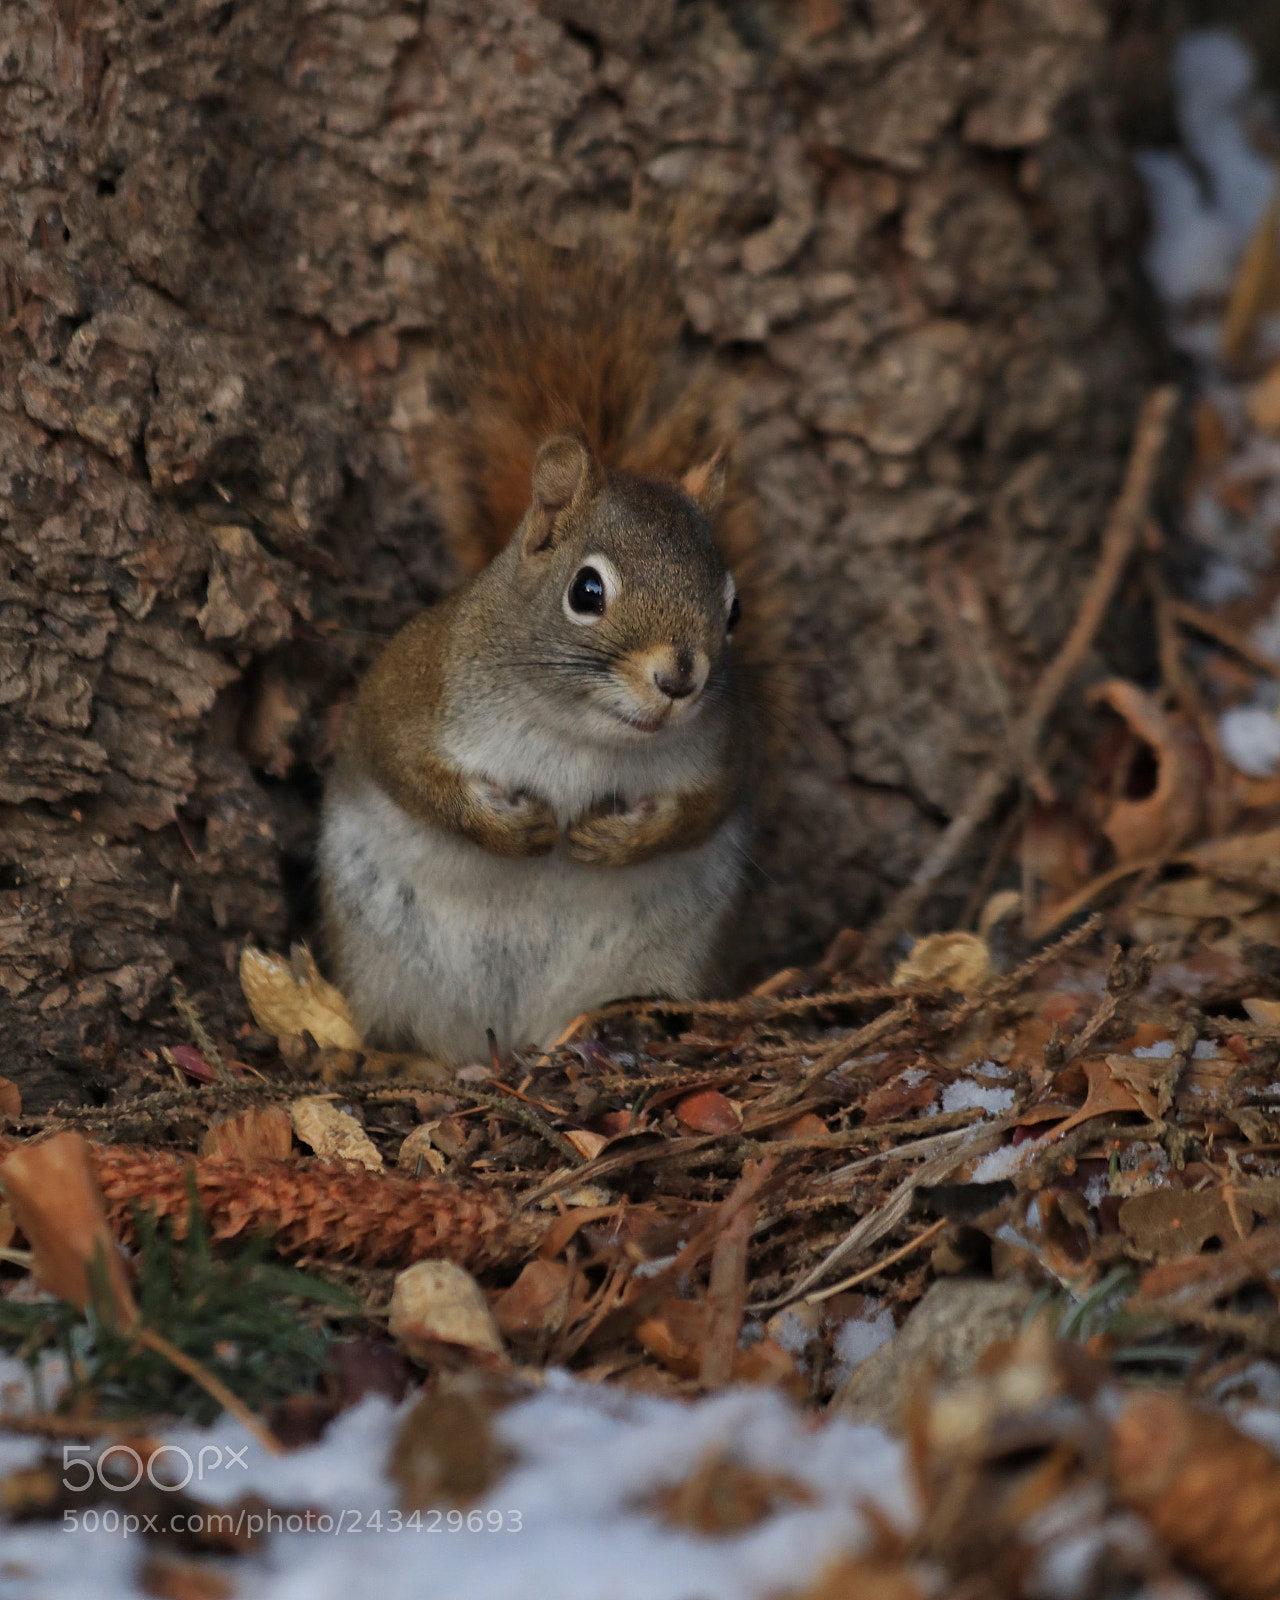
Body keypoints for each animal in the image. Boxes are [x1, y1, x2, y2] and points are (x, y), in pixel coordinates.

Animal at [316, 233, 780, 1062]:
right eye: (586, 592)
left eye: (735, 611)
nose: (680, 679)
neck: (579, 736)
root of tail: (513, 1037)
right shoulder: (409, 694)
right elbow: (406, 771)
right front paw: (510, 828)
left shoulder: (728, 749)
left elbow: (704, 806)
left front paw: (618, 839)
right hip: (383, 960)